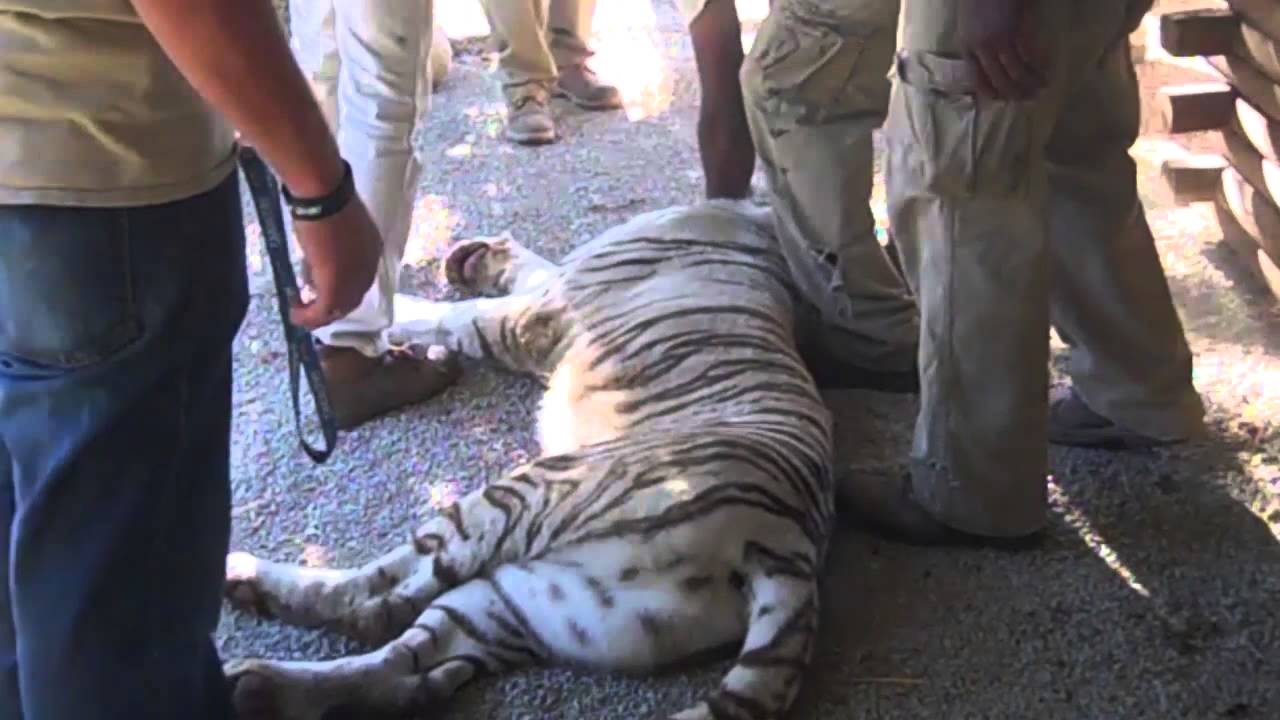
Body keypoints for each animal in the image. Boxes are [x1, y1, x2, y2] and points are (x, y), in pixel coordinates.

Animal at [221, 197, 839, 720]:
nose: (460, 255)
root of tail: (788, 550)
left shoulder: (534, 313)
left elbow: (459, 315)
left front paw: (383, 307)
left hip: (524, 496)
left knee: (371, 599)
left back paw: (244, 580)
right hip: (534, 601)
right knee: (403, 648)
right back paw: (260, 685)